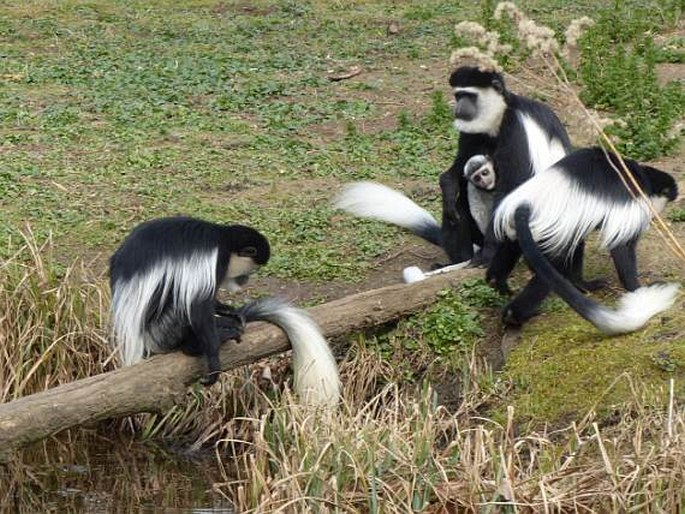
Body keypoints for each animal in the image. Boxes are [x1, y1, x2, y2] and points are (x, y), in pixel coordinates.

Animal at [109, 213, 340, 404]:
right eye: (251, 269)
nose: (245, 280)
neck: (223, 240)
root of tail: (144, 342)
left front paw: (231, 311)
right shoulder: (213, 259)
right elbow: (198, 304)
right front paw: (214, 363)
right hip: (163, 332)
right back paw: (202, 341)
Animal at [492, 146, 680, 334]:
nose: (654, 216)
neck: (639, 178)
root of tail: (526, 205)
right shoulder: (631, 203)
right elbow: (621, 246)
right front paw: (637, 289)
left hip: (524, 228)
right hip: (550, 229)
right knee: (555, 265)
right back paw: (514, 316)